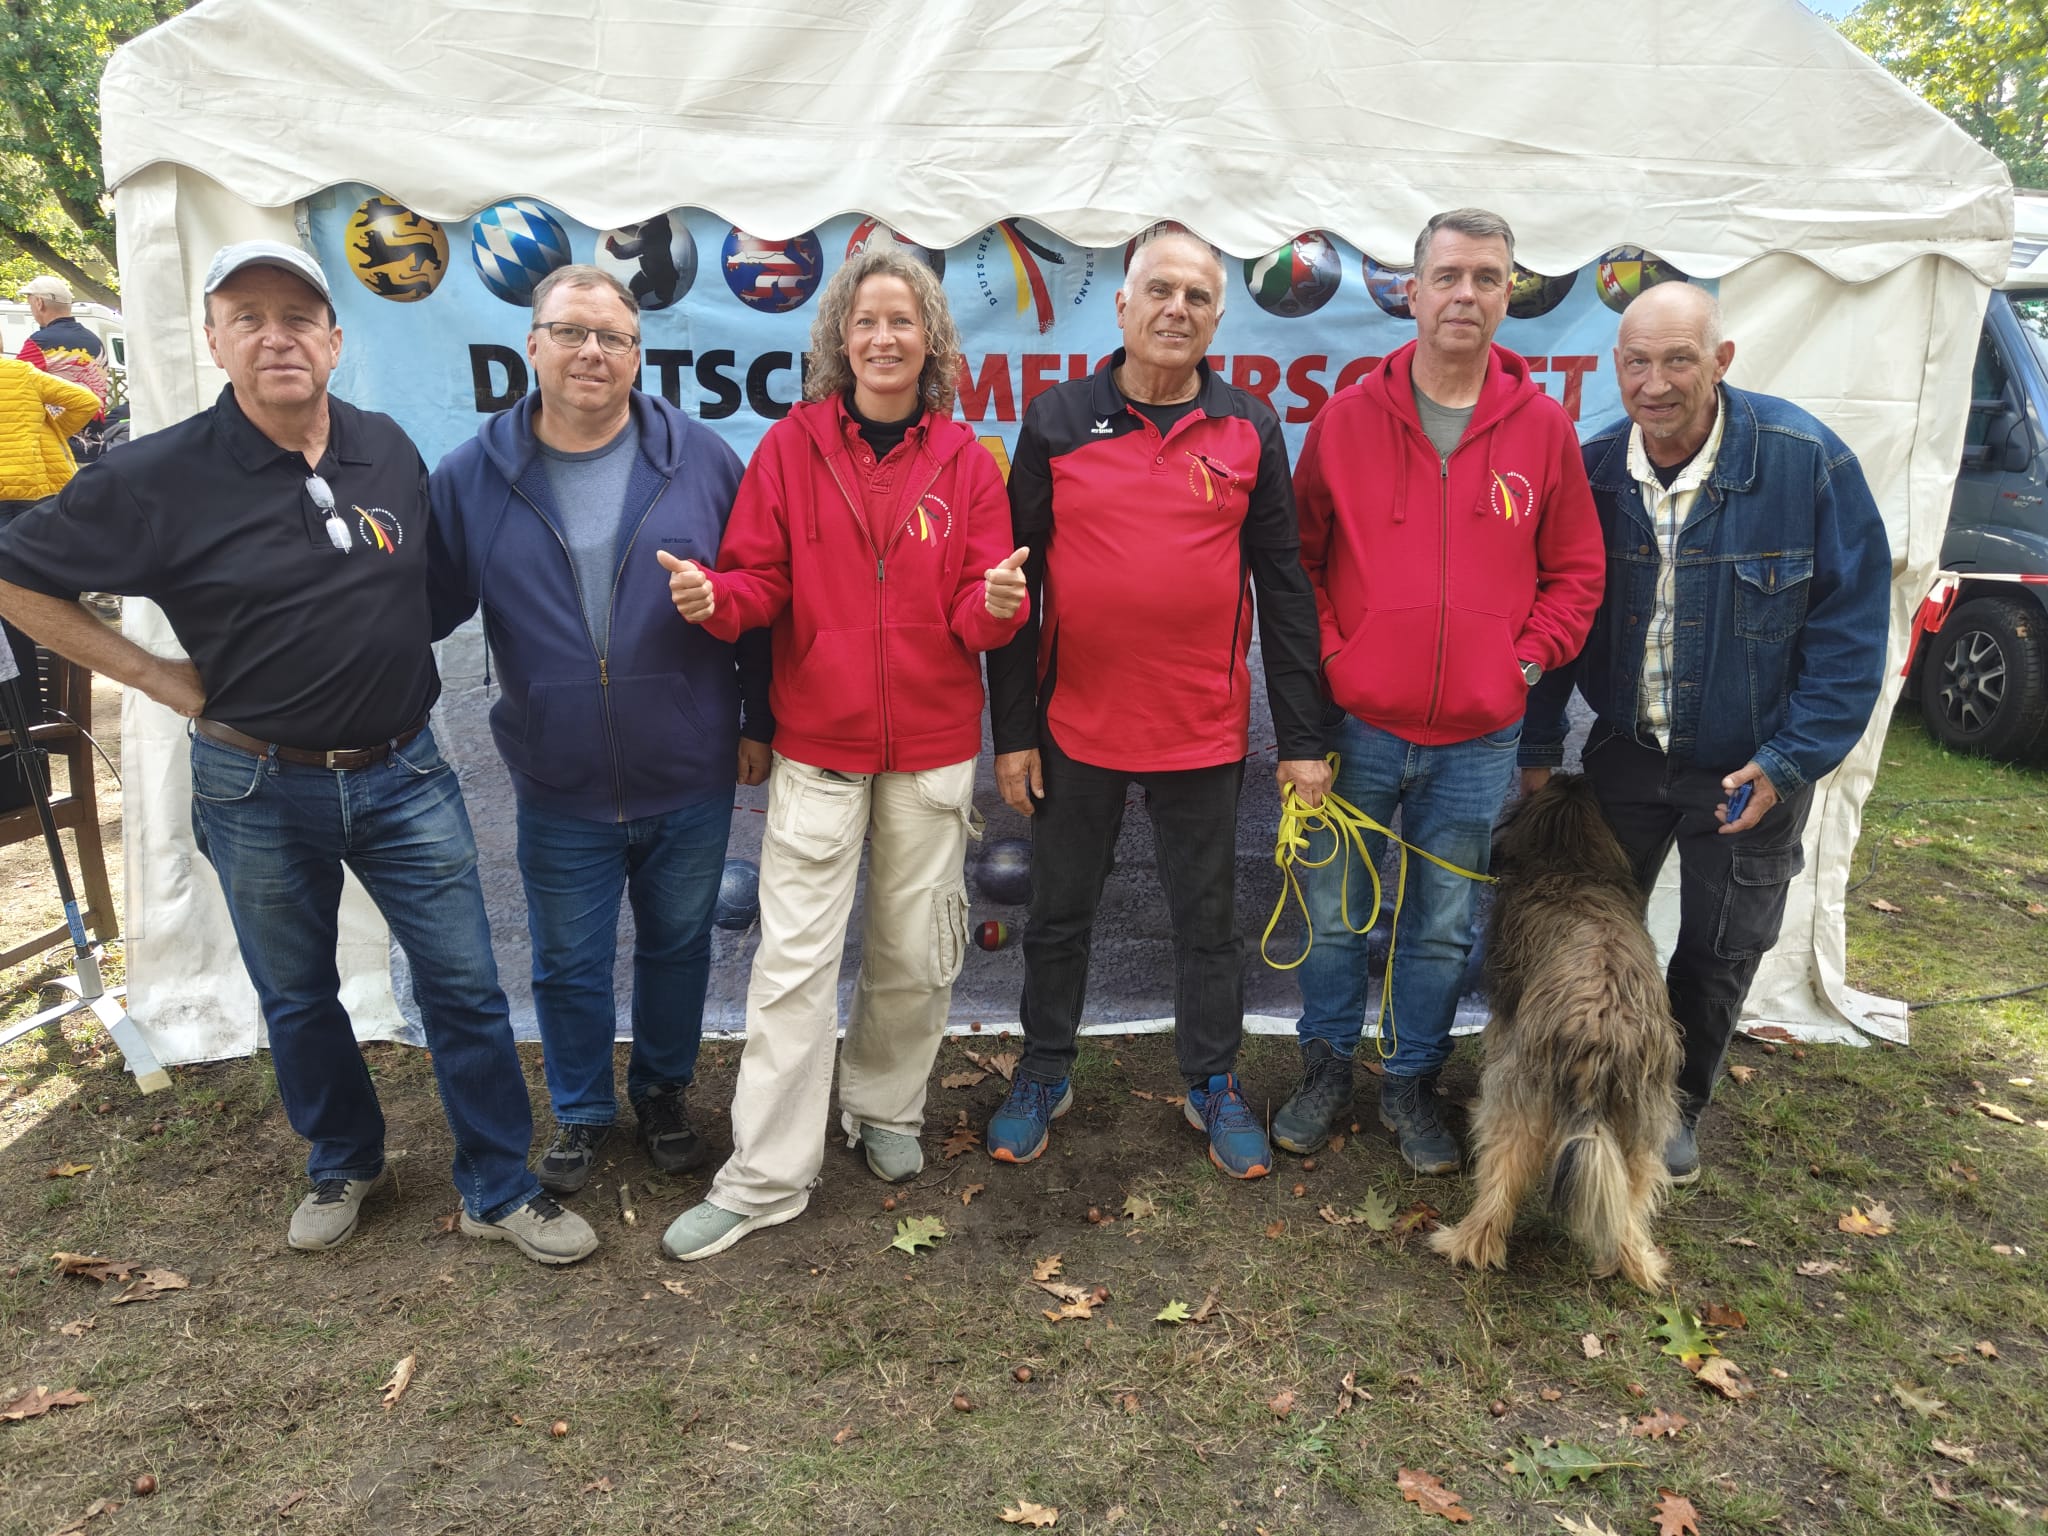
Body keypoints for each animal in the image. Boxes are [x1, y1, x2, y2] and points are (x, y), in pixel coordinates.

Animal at [1429, 773, 1681, 1291]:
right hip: (1641, 1118)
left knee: (1501, 1177)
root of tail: (1602, 1036)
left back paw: (1465, 1243)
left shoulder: (1506, 1017)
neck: (1571, 864)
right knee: (1628, 1196)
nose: (1570, 774)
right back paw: (1634, 1261)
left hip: (1521, 1096)